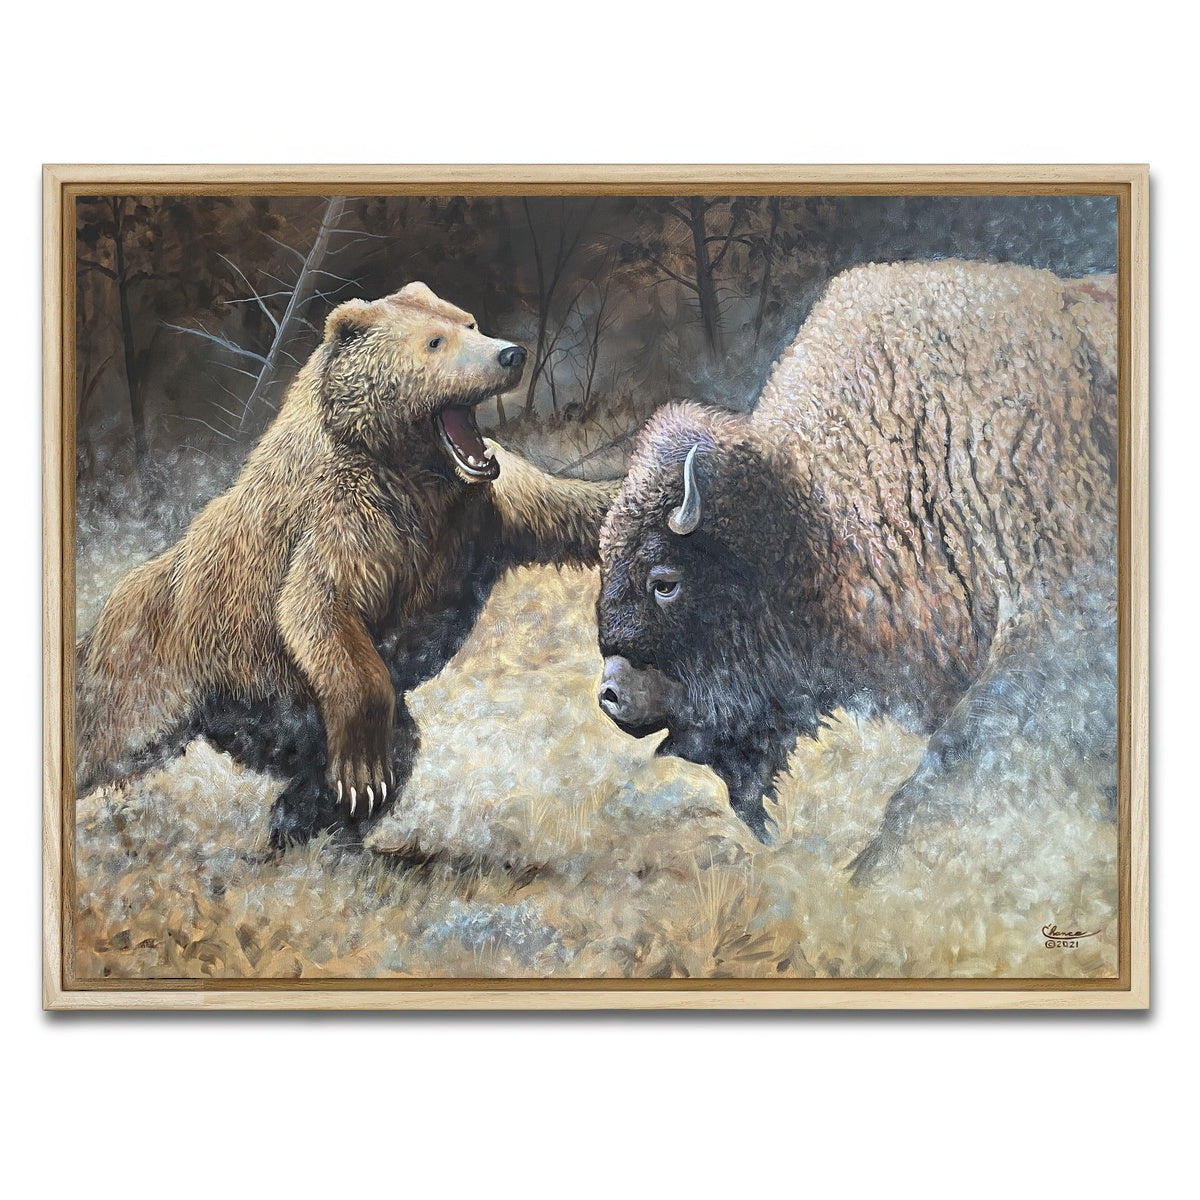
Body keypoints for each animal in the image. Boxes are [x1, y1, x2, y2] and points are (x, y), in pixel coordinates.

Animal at [75, 281, 616, 845]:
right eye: (435, 341)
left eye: (469, 323)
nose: (510, 354)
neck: (415, 471)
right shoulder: (348, 512)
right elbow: (319, 602)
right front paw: (361, 774)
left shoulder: (483, 502)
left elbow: (572, 507)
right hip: (170, 664)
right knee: (111, 735)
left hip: (269, 711)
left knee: (380, 745)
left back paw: (302, 820)